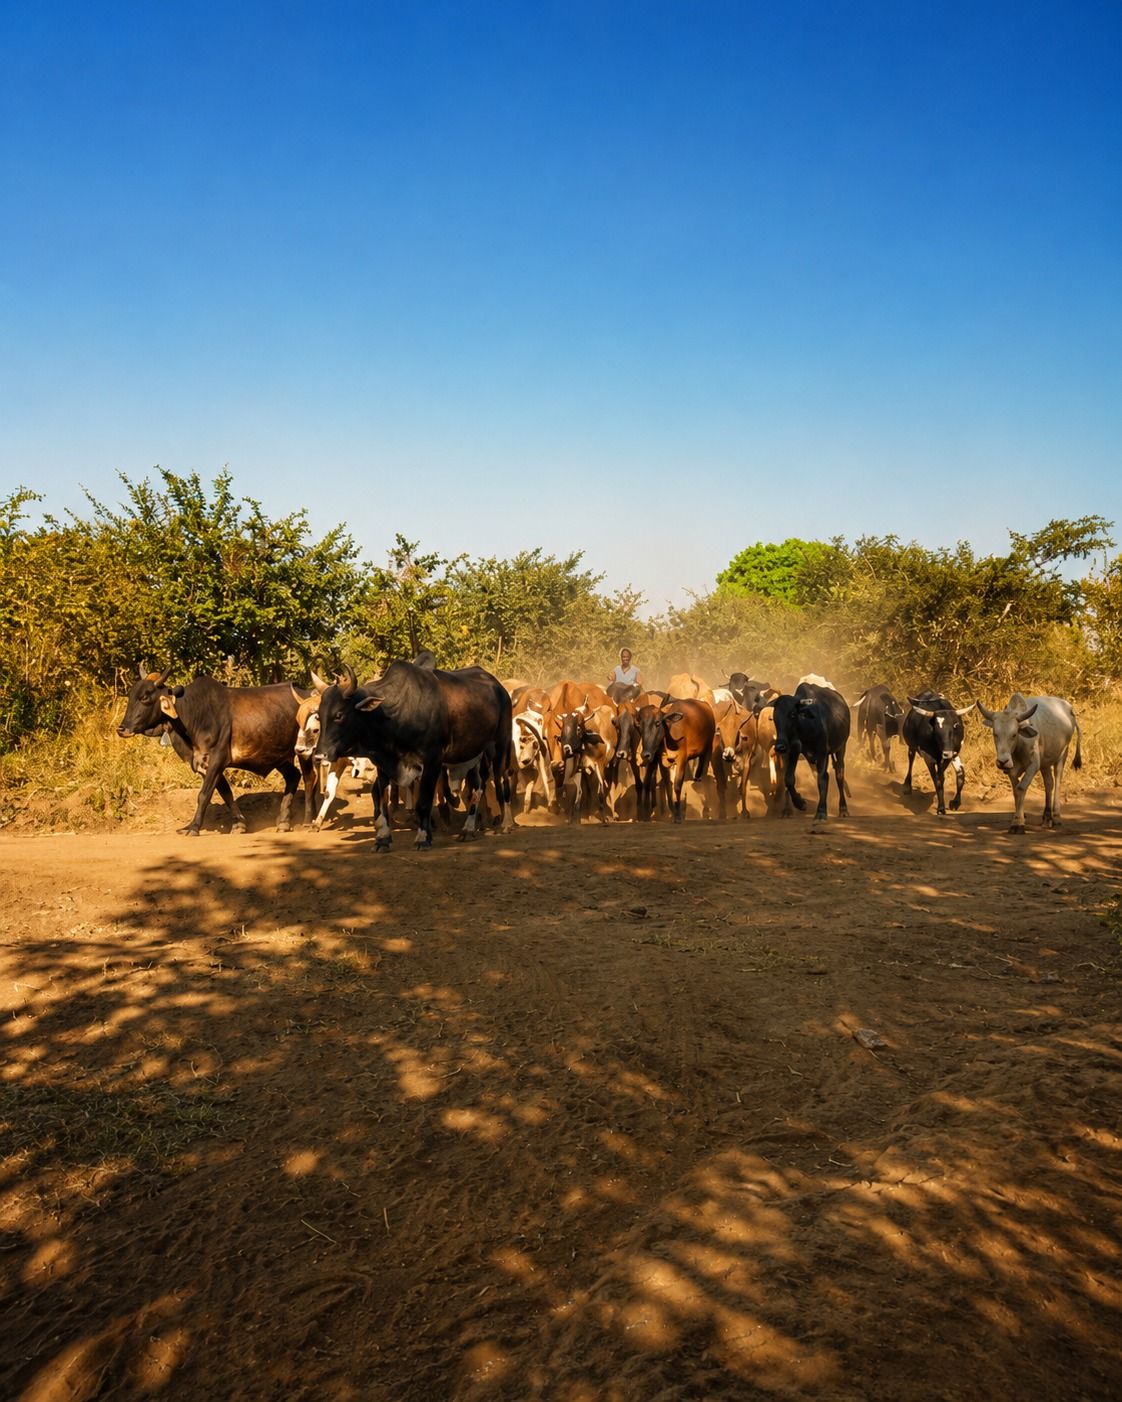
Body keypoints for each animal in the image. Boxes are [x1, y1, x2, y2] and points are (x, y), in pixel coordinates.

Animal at [117, 667, 317, 835]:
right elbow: (226, 793)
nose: (122, 729)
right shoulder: (204, 764)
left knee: (309, 779)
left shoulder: (217, 759)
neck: (193, 714)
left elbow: (204, 794)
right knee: (293, 776)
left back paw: (308, 820)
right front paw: (238, 824)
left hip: (304, 750)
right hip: (278, 756)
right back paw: (283, 822)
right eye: (131, 696)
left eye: (145, 697)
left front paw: (194, 828)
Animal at [315, 661, 512, 851]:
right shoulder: (384, 764)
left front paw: (423, 838)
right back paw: (468, 829)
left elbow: (423, 802)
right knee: (478, 787)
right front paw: (382, 839)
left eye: (339, 714)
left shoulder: (432, 761)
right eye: (318, 715)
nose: (319, 755)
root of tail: (499, 687)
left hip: (500, 747)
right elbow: (383, 801)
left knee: (502, 782)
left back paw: (506, 824)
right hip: (473, 756)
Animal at [770, 682, 851, 821]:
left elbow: (823, 778)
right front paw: (799, 803)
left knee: (839, 775)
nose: (780, 747)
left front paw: (821, 812)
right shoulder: (792, 751)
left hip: (841, 748)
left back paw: (843, 809)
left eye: (792, 714)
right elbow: (788, 779)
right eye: (775, 717)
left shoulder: (822, 753)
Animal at [975, 694, 1082, 833]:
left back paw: (1057, 817)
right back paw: (1047, 818)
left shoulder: (1034, 765)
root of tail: (1069, 708)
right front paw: (1018, 818)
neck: (1019, 746)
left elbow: (1021, 788)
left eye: (1014, 734)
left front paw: (1017, 823)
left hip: (1062, 754)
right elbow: (1016, 791)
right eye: (995, 734)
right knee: (1049, 783)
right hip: (1045, 762)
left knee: (1058, 781)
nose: (1002, 762)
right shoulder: (1012, 770)